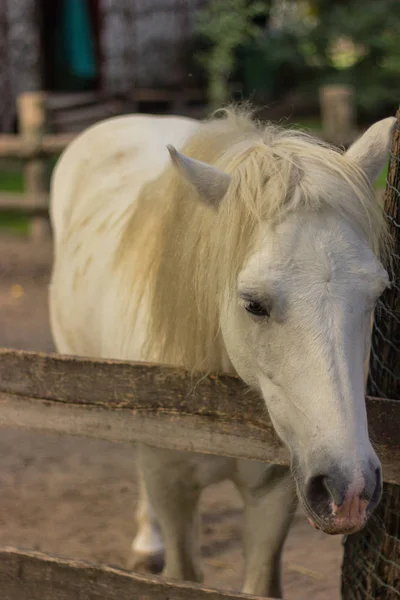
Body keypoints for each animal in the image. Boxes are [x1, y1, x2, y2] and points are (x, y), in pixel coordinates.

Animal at [49, 109, 394, 600]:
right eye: (252, 303)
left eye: (377, 295)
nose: (350, 488)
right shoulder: (171, 484)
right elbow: (182, 573)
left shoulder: (274, 495)